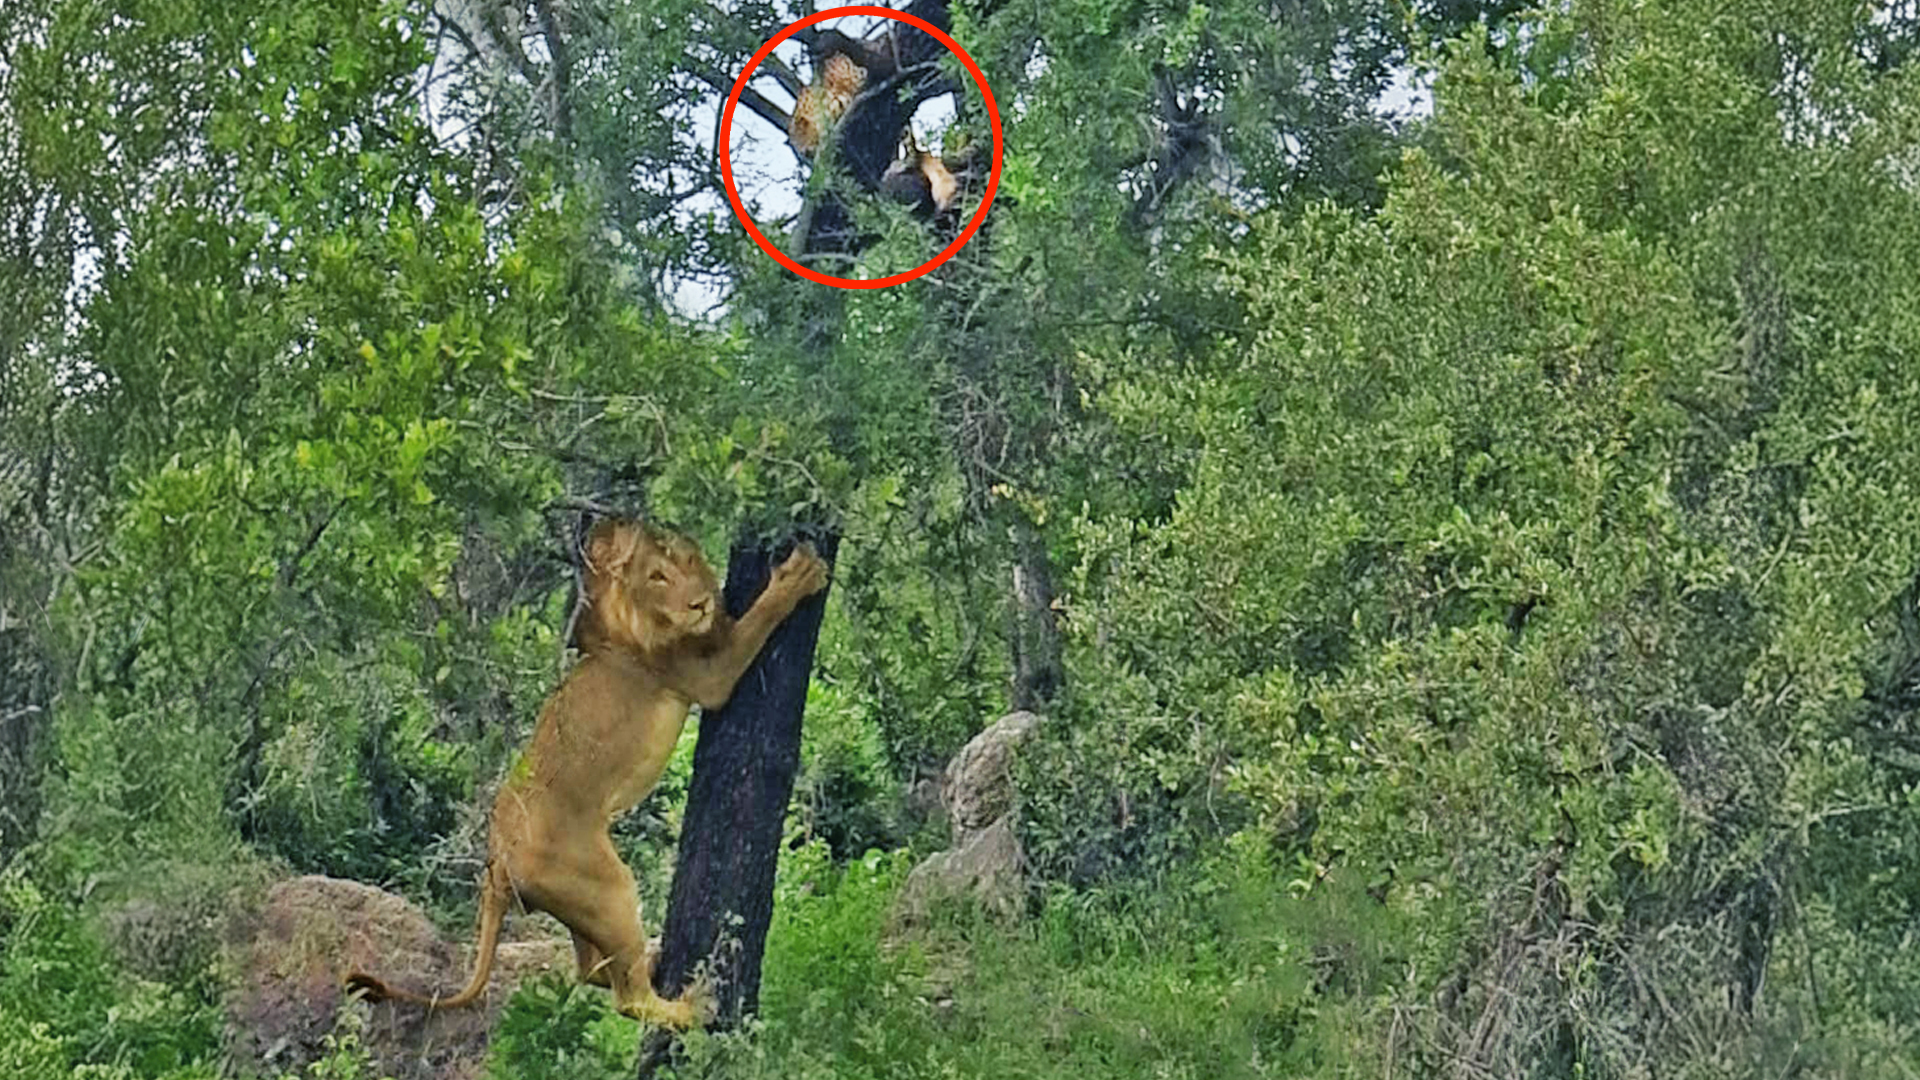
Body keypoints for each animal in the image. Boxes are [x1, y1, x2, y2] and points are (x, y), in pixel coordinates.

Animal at [349, 518, 829, 1022]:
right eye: (657, 577)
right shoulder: (707, 674)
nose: (697, 603)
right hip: (608, 887)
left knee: (593, 971)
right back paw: (692, 1006)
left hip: (580, 903)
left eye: (687, 560)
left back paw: (653, 960)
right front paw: (800, 575)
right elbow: (756, 621)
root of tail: (496, 862)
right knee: (627, 997)